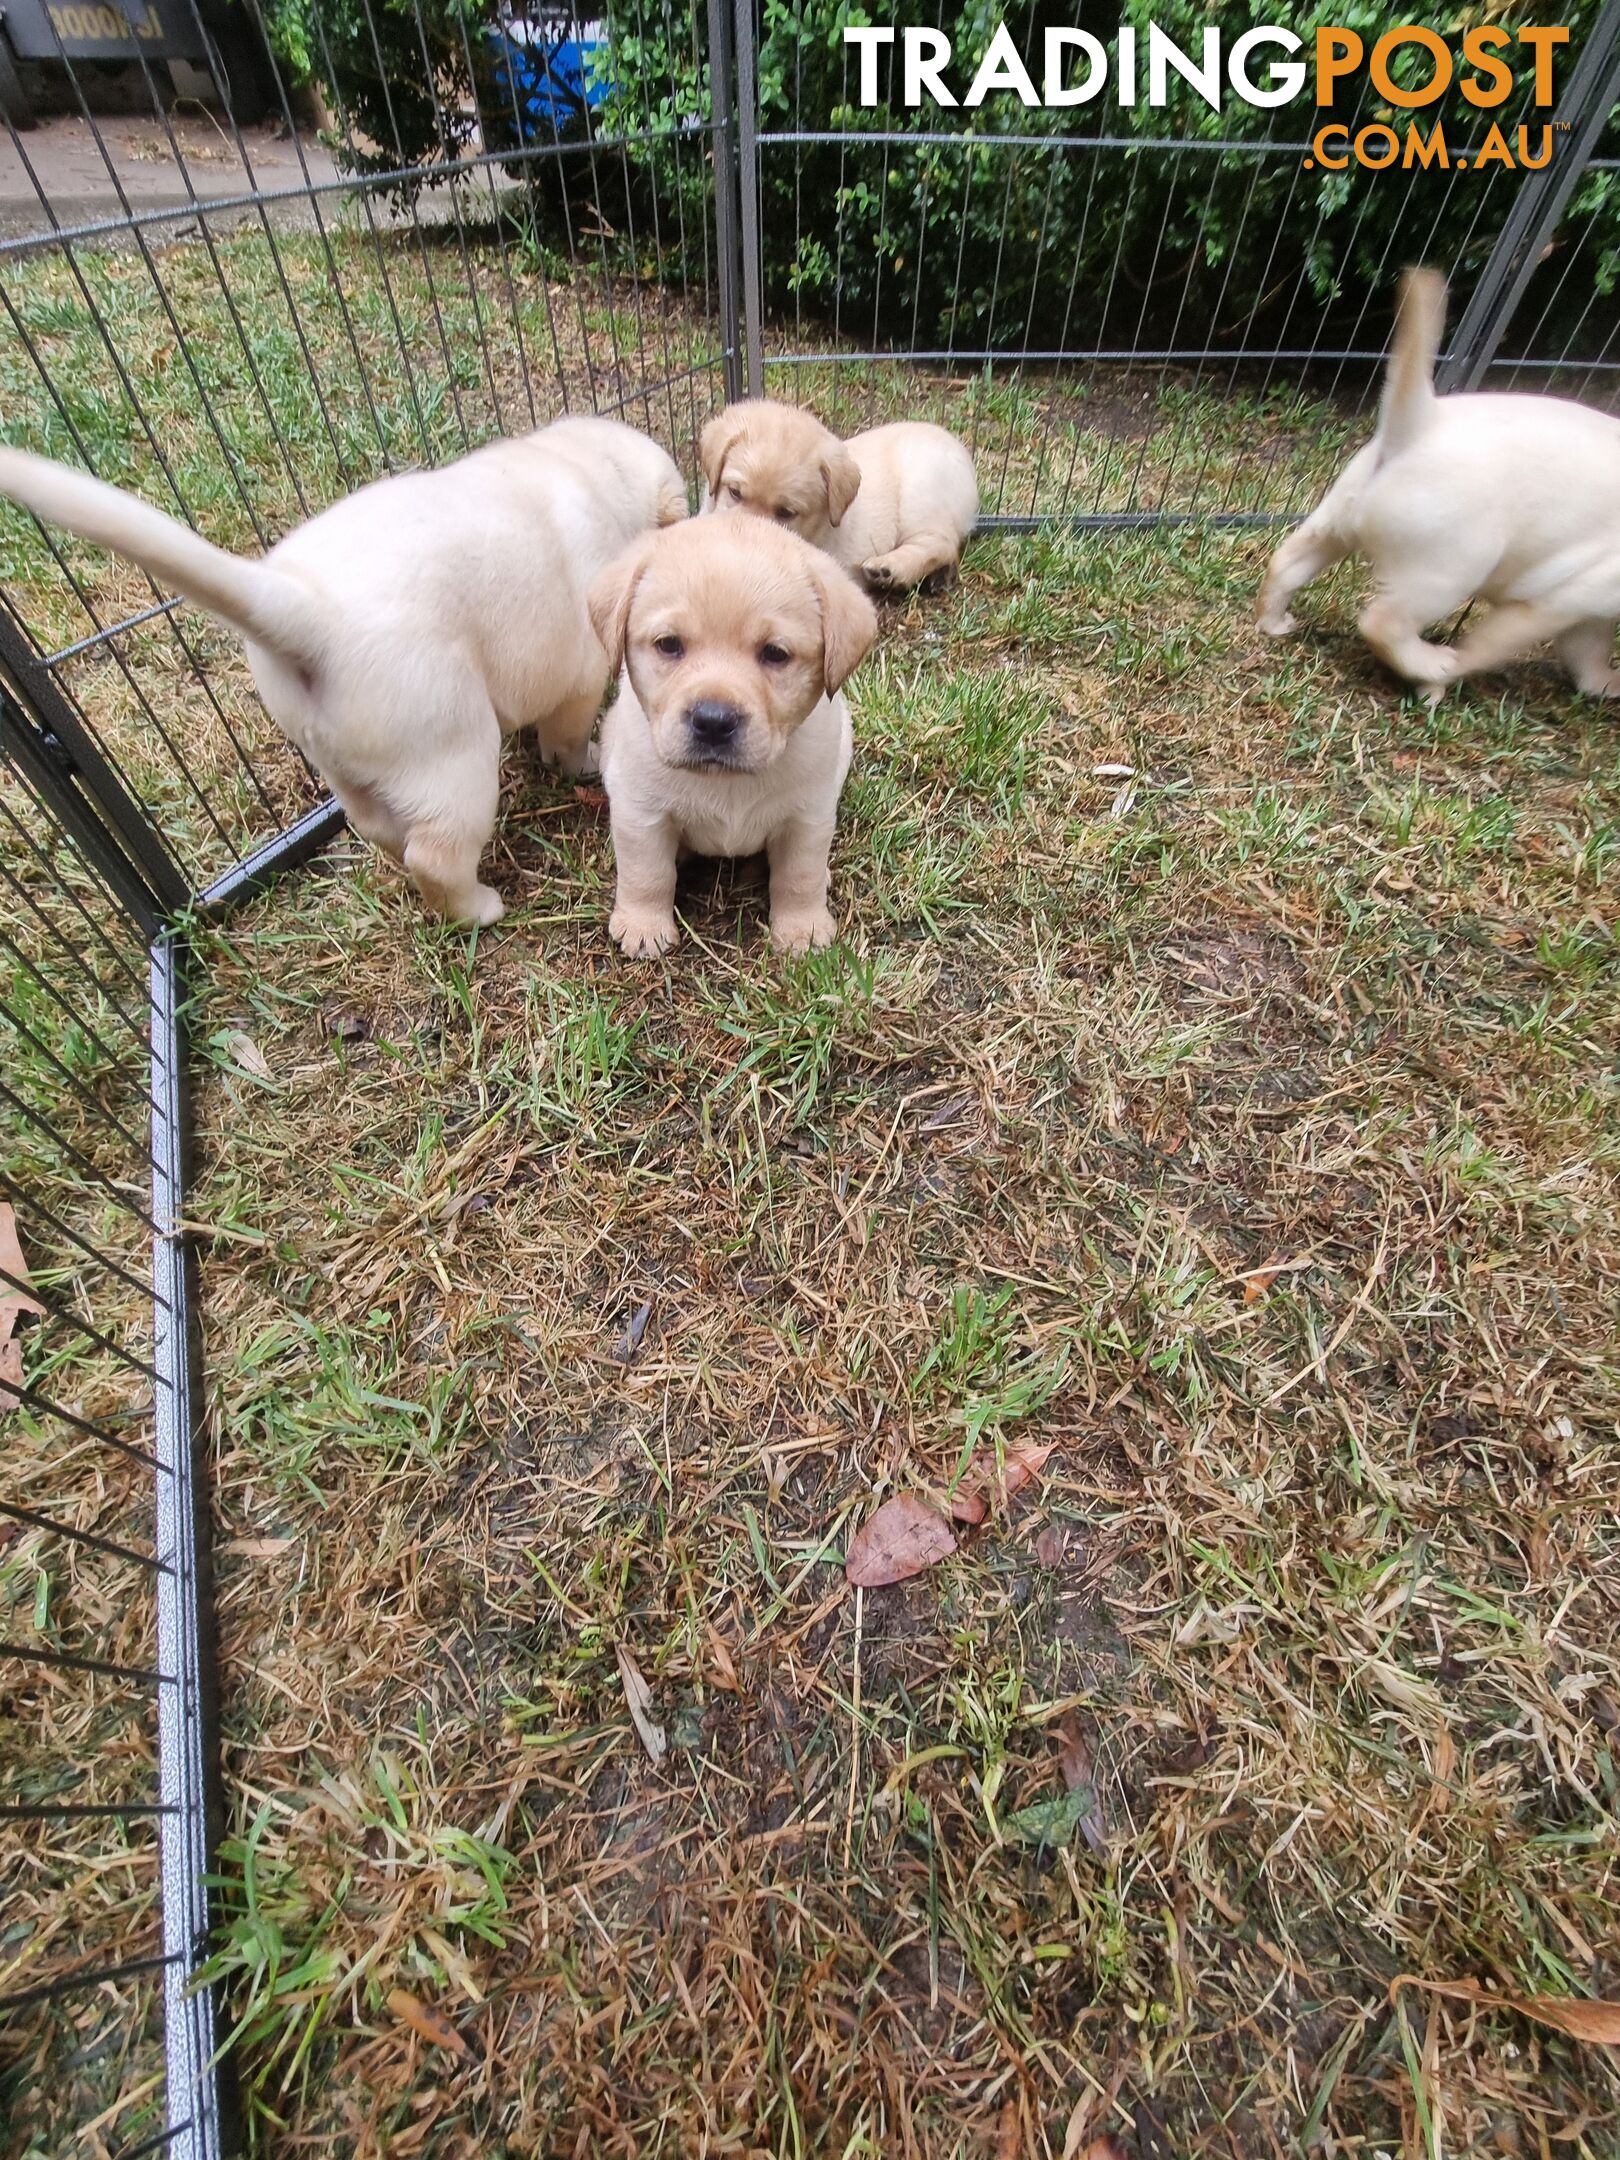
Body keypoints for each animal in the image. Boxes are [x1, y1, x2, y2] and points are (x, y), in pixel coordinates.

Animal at [0, 416, 691, 924]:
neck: (588, 467)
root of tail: (305, 609)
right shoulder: (578, 672)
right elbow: (566, 732)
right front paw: (576, 761)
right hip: (453, 752)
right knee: (435, 853)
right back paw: (477, 910)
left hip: (342, 760)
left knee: (378, 827)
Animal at [591, 514, 881, 954]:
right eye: (668, 645)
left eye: (775, 653)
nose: (713, 721)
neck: (726, 781)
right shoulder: (640, 811)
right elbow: (647, 873)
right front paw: (643, 926)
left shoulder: (808, 817)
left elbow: (799, 877)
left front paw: (803, 930)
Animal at [699, 399, 976, 596]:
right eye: (734, 492)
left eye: (786, 512)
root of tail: (961, 451)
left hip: (920, 495)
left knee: (942, 543)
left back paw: (890, 569)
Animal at [1261, 265, 1620, 695]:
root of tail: (1423, 423)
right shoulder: (1558, 600)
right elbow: (1488, 645)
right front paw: (1451, 671)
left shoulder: (1589, 613)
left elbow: (1589, 653)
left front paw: (1606, 683)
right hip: (1448, 569)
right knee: (1384, 623)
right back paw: (1429, 665)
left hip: (1338, 521)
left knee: (1287, 563)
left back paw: (1274, 622)